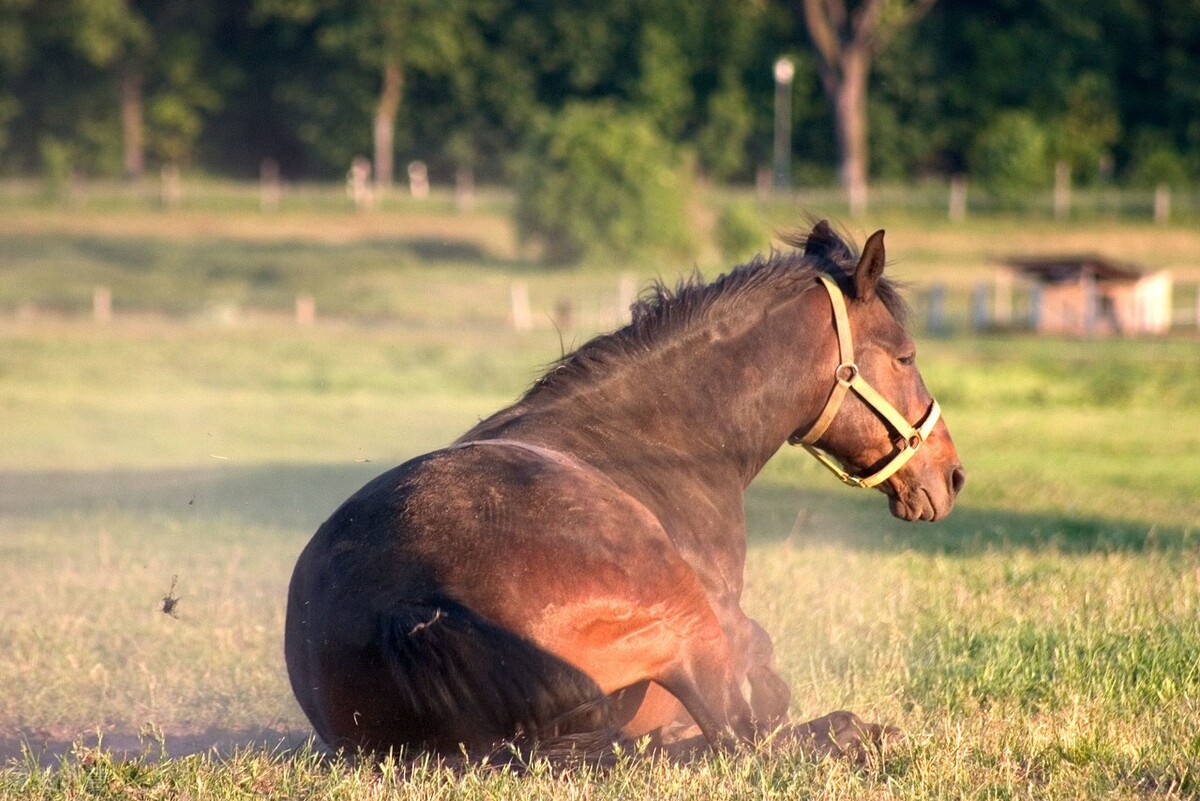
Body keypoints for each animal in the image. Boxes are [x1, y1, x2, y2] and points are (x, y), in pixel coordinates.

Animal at [288, 219, 964, 762]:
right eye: (905, 357)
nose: (951, 474)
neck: (658, 439)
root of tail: (404, 609)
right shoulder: (719, 621)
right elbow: (761, 668)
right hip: (683, 618)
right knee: (741, 739)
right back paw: (853, 730)